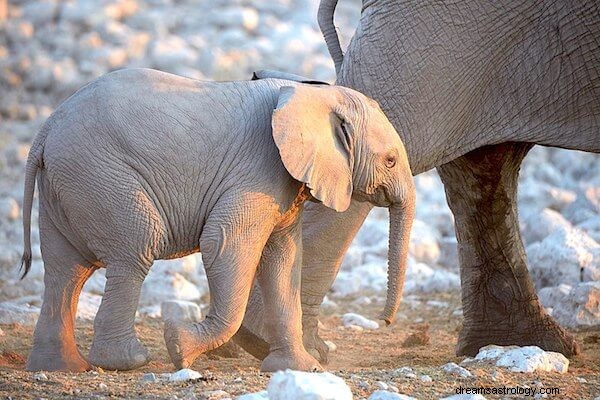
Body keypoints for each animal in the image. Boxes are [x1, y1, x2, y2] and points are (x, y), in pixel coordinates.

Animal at [21, 68, 414, 372]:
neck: (312, 94)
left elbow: (284, 260)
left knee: (65, 271)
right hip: (101, 176)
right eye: (391, 160)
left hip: (67, 184)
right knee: (135, 249)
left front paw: (301, 369)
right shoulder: (258, 170)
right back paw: (128, 362)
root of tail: (46, 129)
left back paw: (61, 367)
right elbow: (224, 244)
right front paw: (178, 346)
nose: (385, 321)